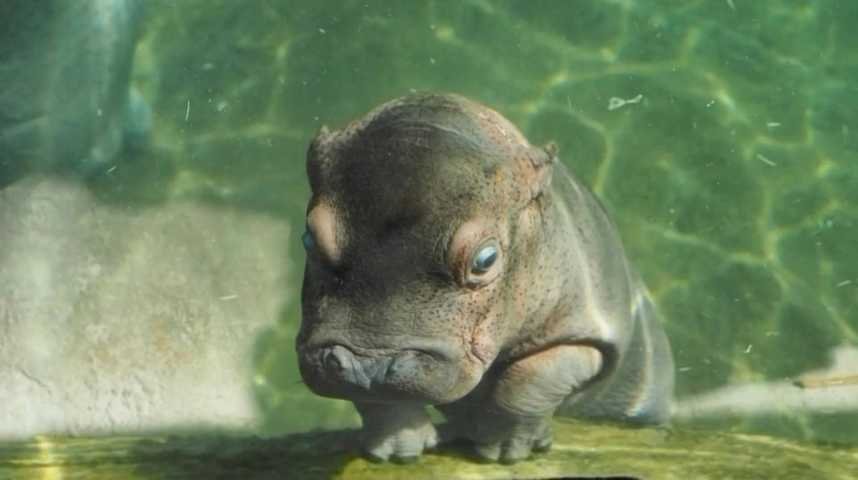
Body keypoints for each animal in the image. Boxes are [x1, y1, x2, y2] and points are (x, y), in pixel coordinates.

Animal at [297, 93, 674, 463]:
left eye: (486, 259)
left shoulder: (583, 330)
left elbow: (530, 379)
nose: (369, 367)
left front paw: (504, 452)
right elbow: (379, 400)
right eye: (309, 238)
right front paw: (397, 453)